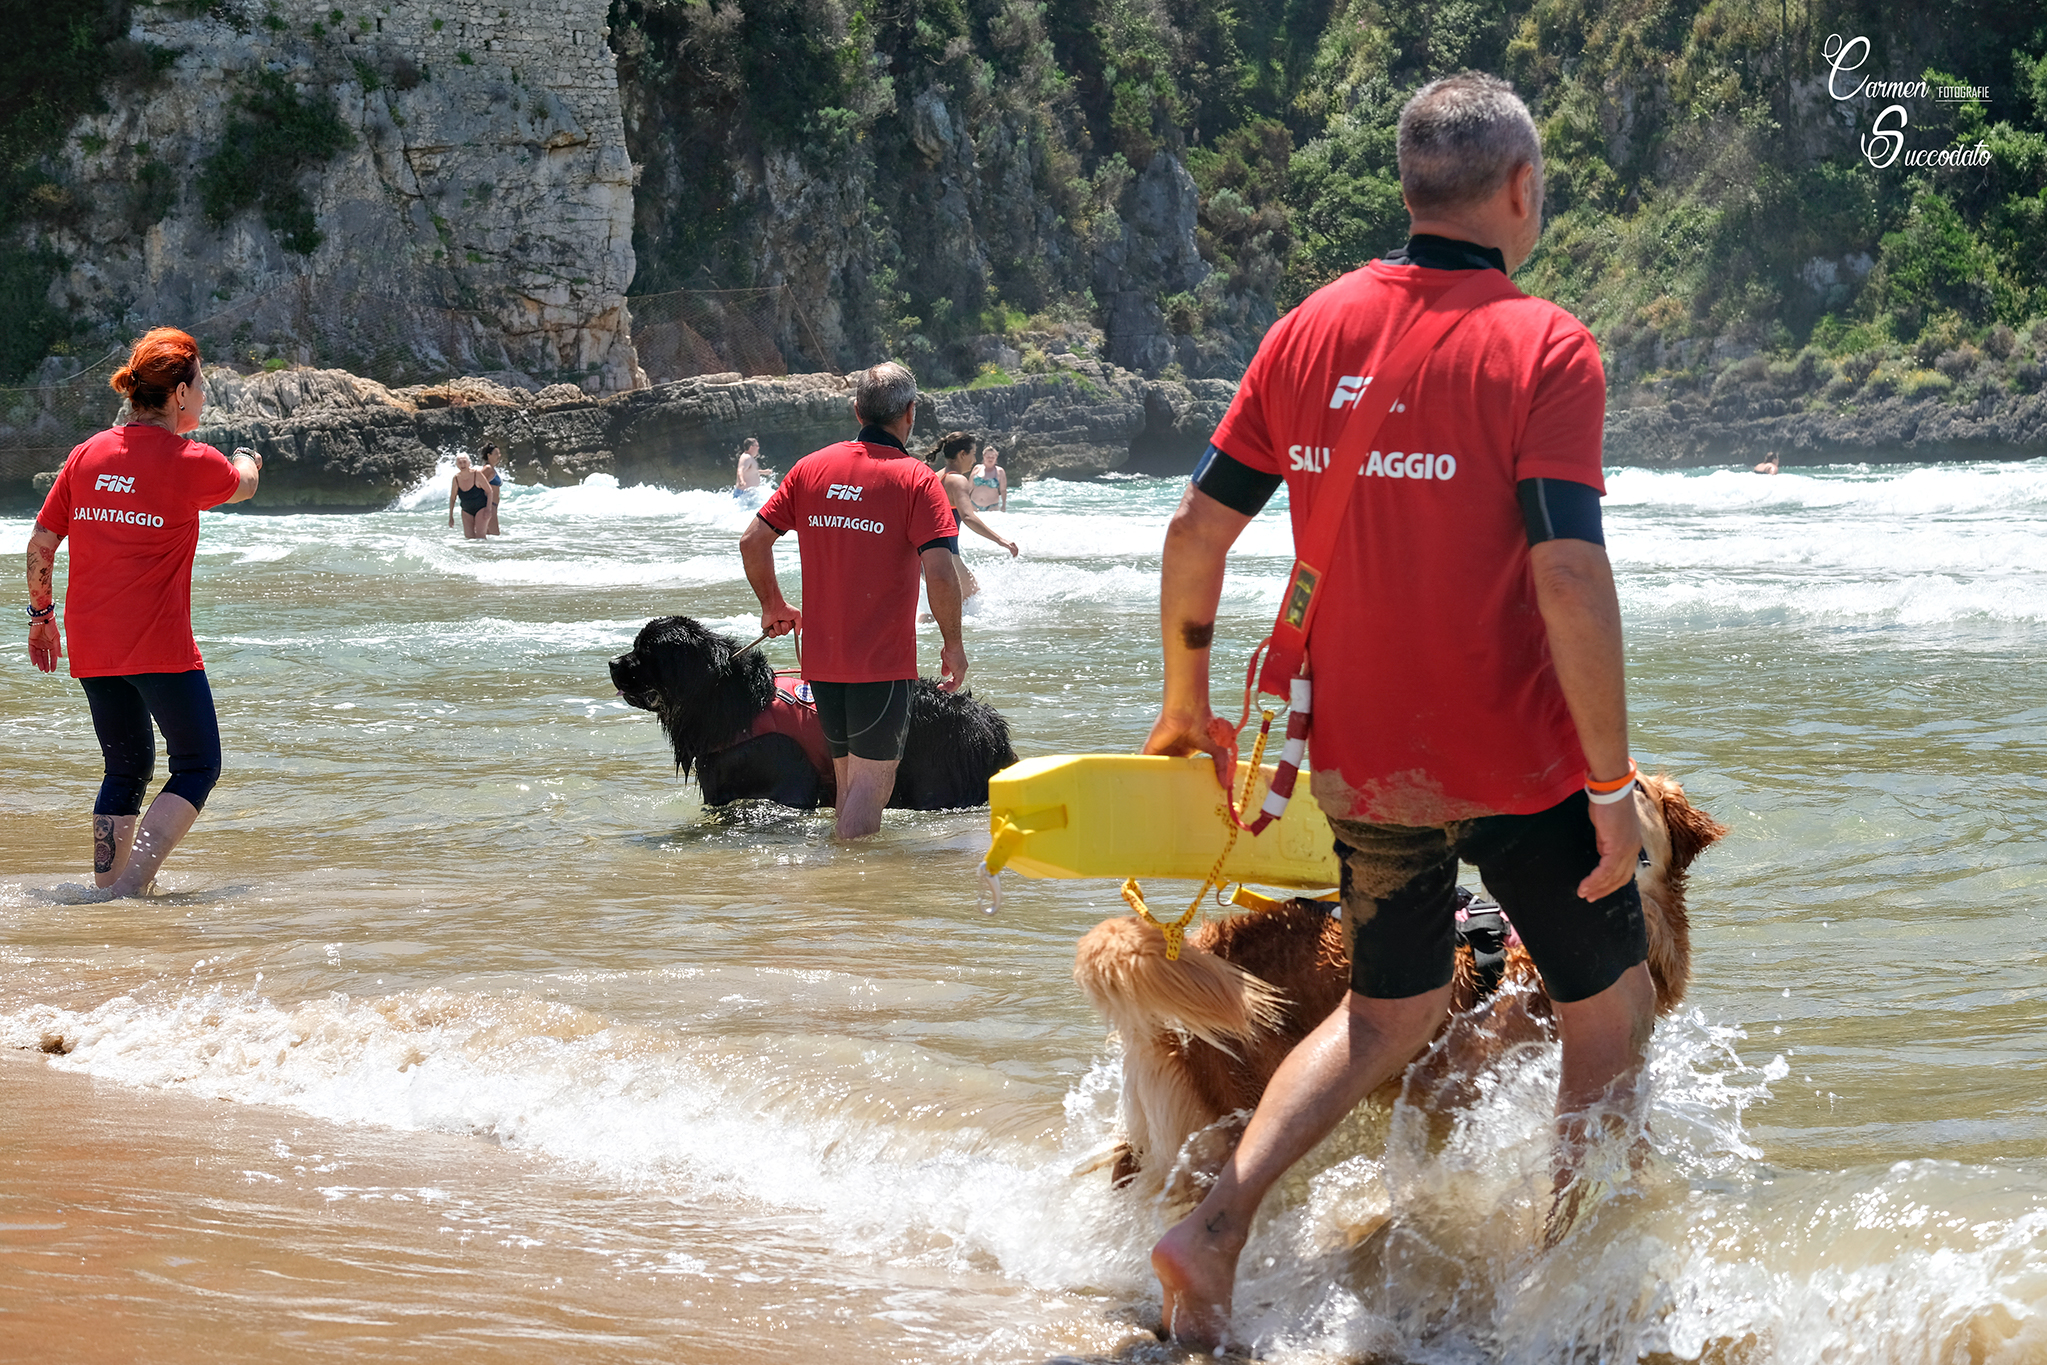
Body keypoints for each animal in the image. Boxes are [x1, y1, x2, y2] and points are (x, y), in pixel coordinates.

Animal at [605, 618, 1023, 810]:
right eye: (634, 646)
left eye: (644, 653)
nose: (611, 663)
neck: (731, 703)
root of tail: (990, 724)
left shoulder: (788, 783)